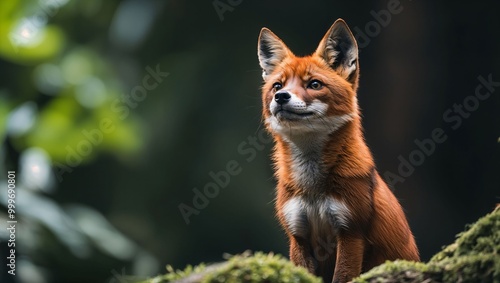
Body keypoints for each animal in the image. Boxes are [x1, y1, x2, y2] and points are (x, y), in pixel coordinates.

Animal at [258, 18, 418, 283]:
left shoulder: (351, 232)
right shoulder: (298, 235)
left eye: (314, 84)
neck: (312, 190)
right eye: (278, 85)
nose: (281, 97)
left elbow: (343, 276)